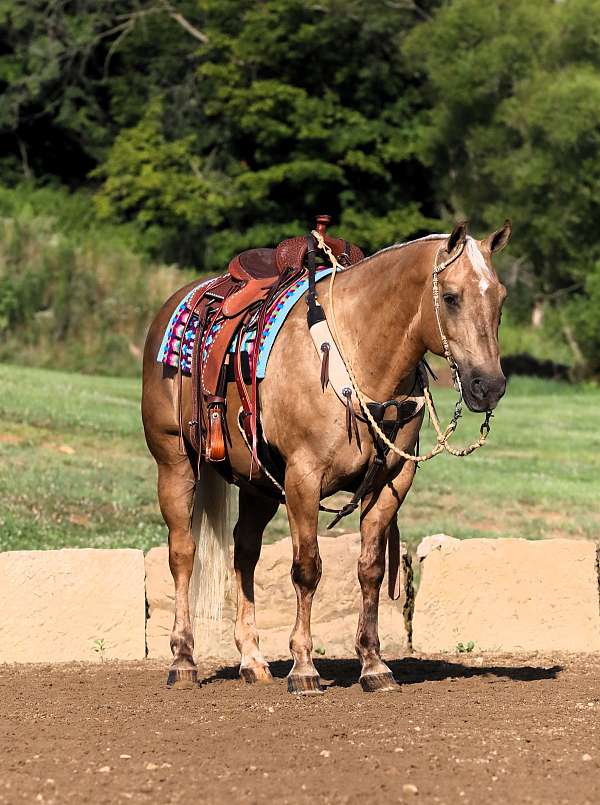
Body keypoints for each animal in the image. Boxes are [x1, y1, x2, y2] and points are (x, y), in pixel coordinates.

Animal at [142, 218, 510, 692]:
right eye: (450, 296)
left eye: (500, 296)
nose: (490, 386)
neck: (358, 352)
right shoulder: (303, 478)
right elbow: (307, 567)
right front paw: (304, 667)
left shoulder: (391, 483)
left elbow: (370, 569)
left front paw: (373, 665)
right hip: (174, 463)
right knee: (183, 552)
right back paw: (184, 659)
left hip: (258, 483)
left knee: (245, 552)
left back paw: (252, 659)